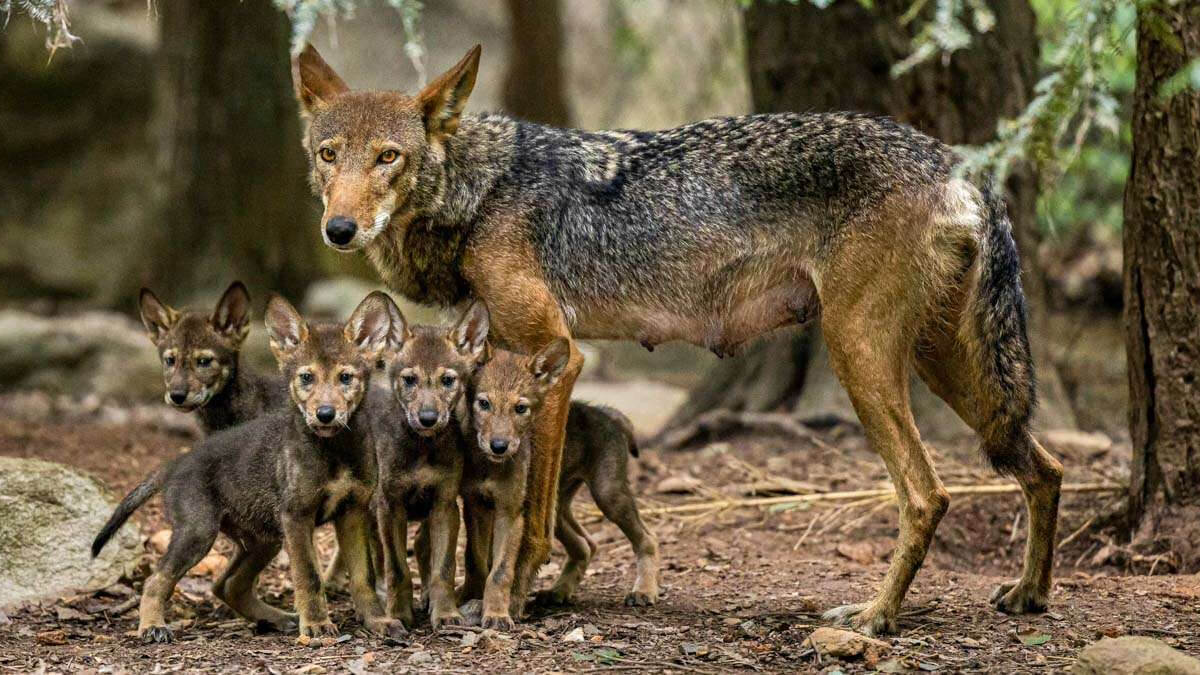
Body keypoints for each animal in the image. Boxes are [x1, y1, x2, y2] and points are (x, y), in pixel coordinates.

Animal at [92, 293, 404, 642]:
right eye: (306, 378)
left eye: (346, 377)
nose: (325, 414)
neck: (335, 450)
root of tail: (177, 463)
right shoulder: (297, 515)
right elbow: (309, 577)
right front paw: (317, 626)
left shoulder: (352, 512)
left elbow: (363, 577)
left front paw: (377, 621)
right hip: (200, 531)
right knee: (157, 579)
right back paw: (152, 627)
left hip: (263, 538)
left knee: (228, 585)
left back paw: (277, 619)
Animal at [291, 45, 1064, 635]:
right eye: (329, 155)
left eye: (388, 157)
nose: (339, 230)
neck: (480, 193)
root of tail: (956, 162)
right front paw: (472, 595)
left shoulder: (556, 356)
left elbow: (531, 518)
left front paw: (508, 602)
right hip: (948, 369)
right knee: (1045, 466)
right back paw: (1028, 595)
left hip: (861, 358)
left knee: (928, 494)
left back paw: (876, 616)